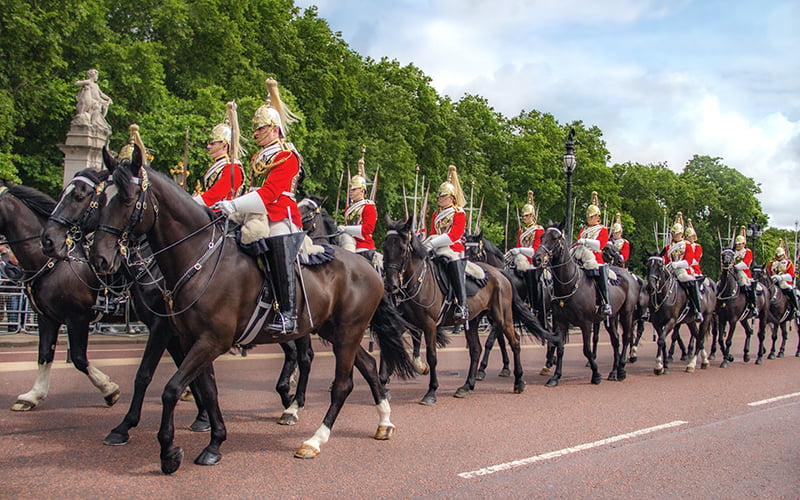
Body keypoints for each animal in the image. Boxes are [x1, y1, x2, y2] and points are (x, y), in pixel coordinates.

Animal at [89, 147, 412, 472]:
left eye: (128, 199)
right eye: (99, 199)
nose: (100, 260)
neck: (200, 259)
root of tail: (370, 268)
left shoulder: (208, 340)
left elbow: (171, 388)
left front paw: (168, 452)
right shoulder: (192, 339)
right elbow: (206, 390)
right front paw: (214, 443)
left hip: (346, 333)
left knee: (342, 384)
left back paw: (313, 440)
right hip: (336, 332)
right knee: (367, 365)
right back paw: (383, 422)